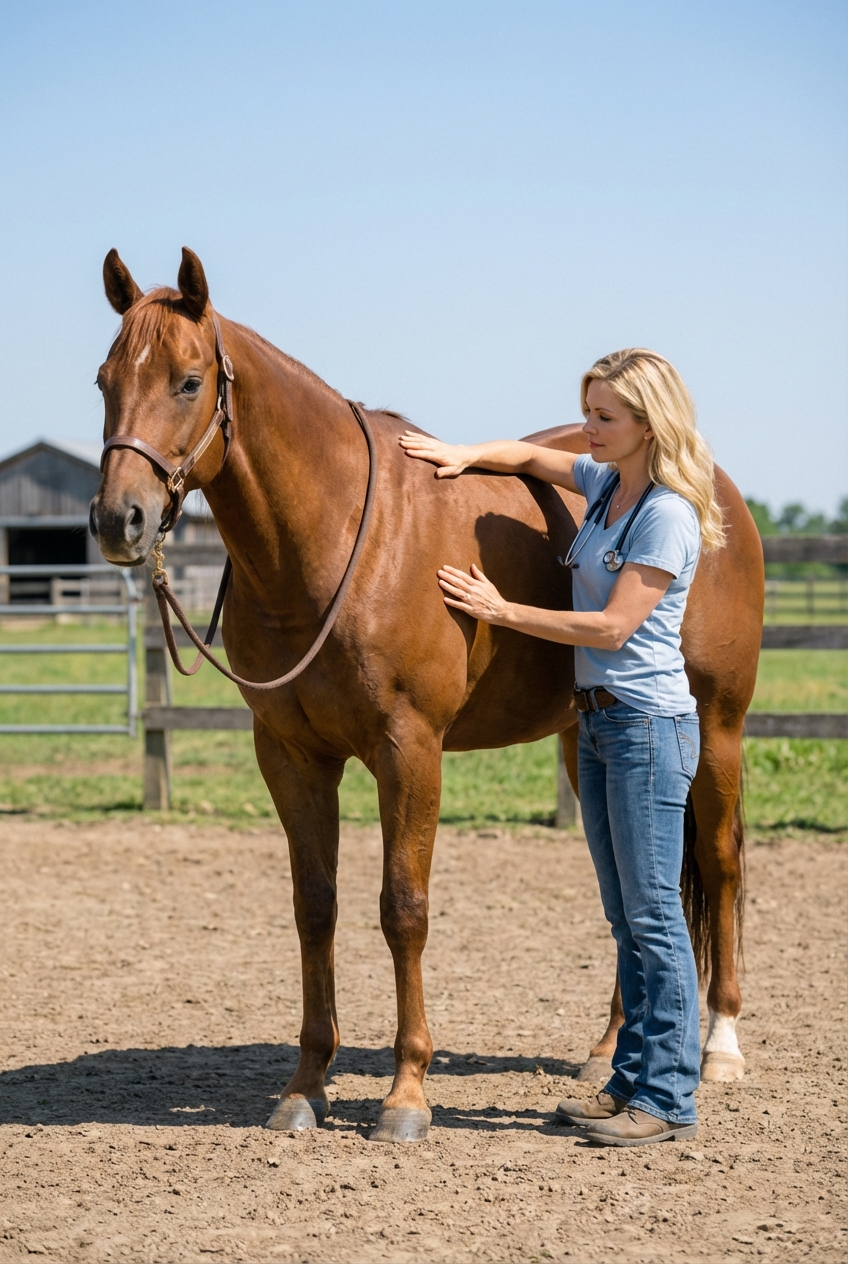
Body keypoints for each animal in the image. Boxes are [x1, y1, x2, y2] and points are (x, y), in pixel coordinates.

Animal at [90, 248, 764, 1142]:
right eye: (104, 380)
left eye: (189, 381)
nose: (118, 520)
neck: (341, 537)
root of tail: (712, 486)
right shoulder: (292, 756)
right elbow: (316, 909)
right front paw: (306, 1086)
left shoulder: (409, 749)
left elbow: (402, 908)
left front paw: (406, 1093)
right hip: (583, 745)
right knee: (626, 888)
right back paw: (604, 1055)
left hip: (717, 727)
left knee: (719, 868)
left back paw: (720, 1047)